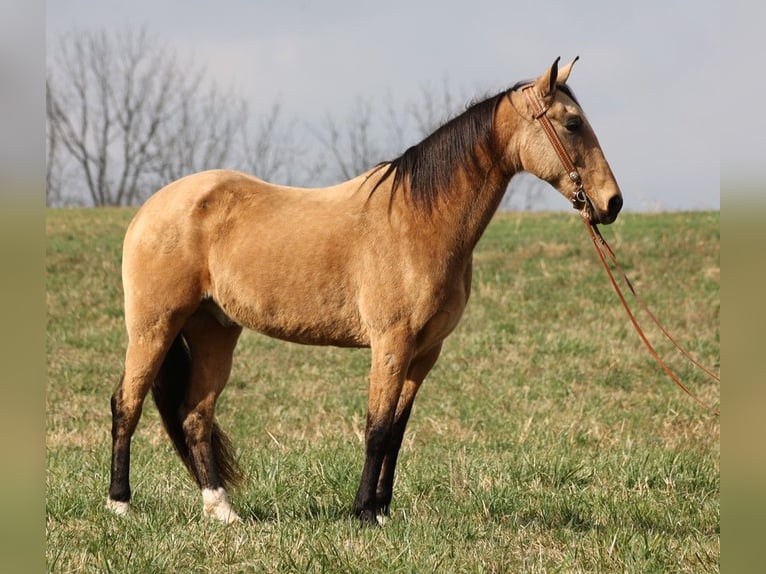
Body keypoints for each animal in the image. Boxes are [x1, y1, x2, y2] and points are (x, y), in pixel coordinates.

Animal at [106, 57, 624, 528]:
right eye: (573, 123)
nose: (612, 202)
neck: (418, 219)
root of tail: (149, 209)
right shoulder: (390, 343)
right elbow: (376, 428)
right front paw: (363, 513)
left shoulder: (424, 352)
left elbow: (396, 431)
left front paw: (383, 510)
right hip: (154, 328)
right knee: (126, 404)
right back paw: (120, 504)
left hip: (214, 331)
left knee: (195, 415)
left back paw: (221, 511)